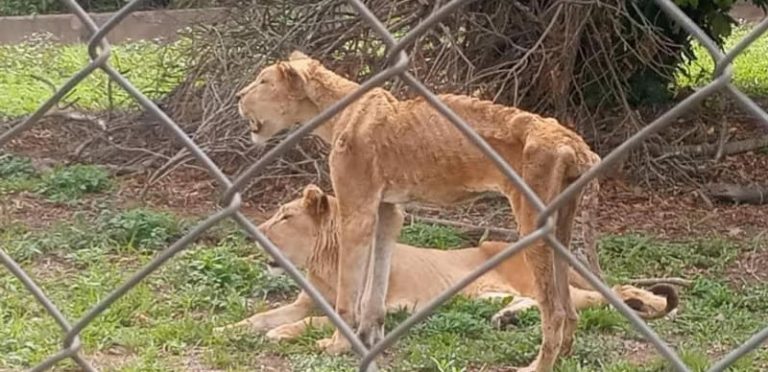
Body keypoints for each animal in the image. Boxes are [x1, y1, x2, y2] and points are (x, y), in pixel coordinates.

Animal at [236, 50, 608, 372]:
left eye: (263, 81)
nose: (239, 95)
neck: (336, 110)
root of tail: (574, 141)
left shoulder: (358, 209)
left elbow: (349, 289)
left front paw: (338, 345)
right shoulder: (388, 210)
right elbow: (375, 282)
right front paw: (368, 337)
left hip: (533, 218)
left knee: (554, 308)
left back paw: (538, 366)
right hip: (562, 223)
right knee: (568, 304)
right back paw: (565, 355)